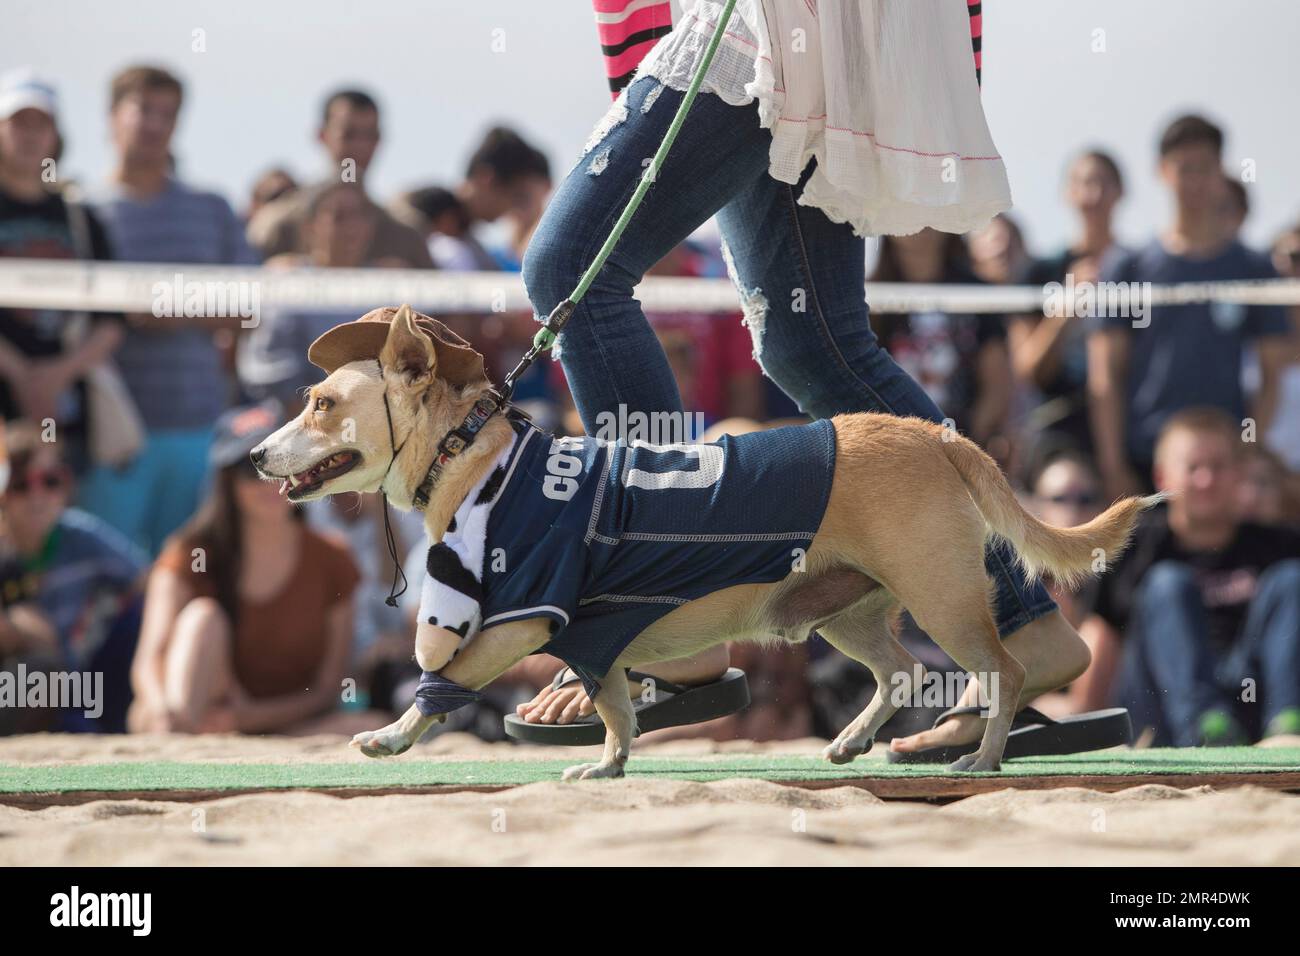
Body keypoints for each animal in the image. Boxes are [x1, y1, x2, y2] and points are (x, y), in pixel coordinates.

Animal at [253, 306, 1159, 780]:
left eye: (320, 405)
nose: (258, 455)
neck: (473, 458)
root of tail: (936, 436)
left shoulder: (521, 622)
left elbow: (439, 684)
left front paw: (391, 736)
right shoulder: (595, 637)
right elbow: (616, 708)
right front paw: (608, 766)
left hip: (943, 598)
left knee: (1001, 671)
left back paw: (982, 760)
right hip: (846, 610)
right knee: (900, 670)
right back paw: (853, 740)